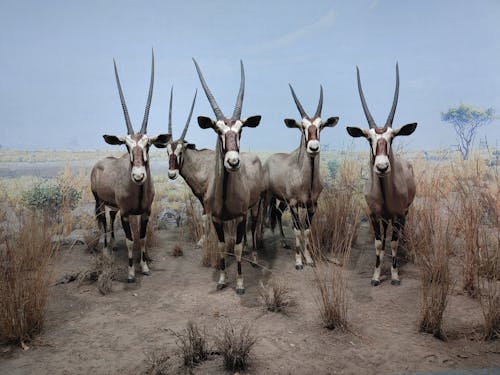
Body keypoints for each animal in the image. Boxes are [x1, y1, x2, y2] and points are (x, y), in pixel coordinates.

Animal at [89, 52, 169, 282]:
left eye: (148, 144)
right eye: (126, 144)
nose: (138, 176)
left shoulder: (145, 212)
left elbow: (141, 239)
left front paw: (145, 267)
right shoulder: (126, 213)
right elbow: (131, 240)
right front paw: (131, 272)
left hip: (113, 206)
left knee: (110, 219)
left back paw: (112, 246)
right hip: (98, 202)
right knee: (102, 223)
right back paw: (106, 251)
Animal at [194, 58, 268, 296]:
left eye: (240, 130)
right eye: (218, 130)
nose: (233, 162)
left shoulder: (241, 216)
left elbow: (236, 247)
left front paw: (240, 284)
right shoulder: (217, 219)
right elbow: (221, 247)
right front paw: (222, 279)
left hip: (256, 206)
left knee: (253, 230)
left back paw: (254, 258)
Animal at [264, 85, 338, 268]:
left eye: (321, 125)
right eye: (302, 126)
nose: (313, 147)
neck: (308, 182)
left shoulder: (312, 205)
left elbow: (307, 230)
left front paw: (309, 258)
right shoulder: (294, 204)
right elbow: (297, 229)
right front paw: (298, 261)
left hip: (283, 200)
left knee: (277, 212)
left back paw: (284, 242)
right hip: (271, 197)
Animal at [346, 64, 416, 288]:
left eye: (392, 137)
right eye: (369, 139)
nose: (382, 167)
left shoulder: (399, 215)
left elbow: (393, 243)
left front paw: (394, 276)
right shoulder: (374, 215)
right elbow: (379, 245)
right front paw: (376, 276)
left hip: (403, 214)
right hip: (385, 219)